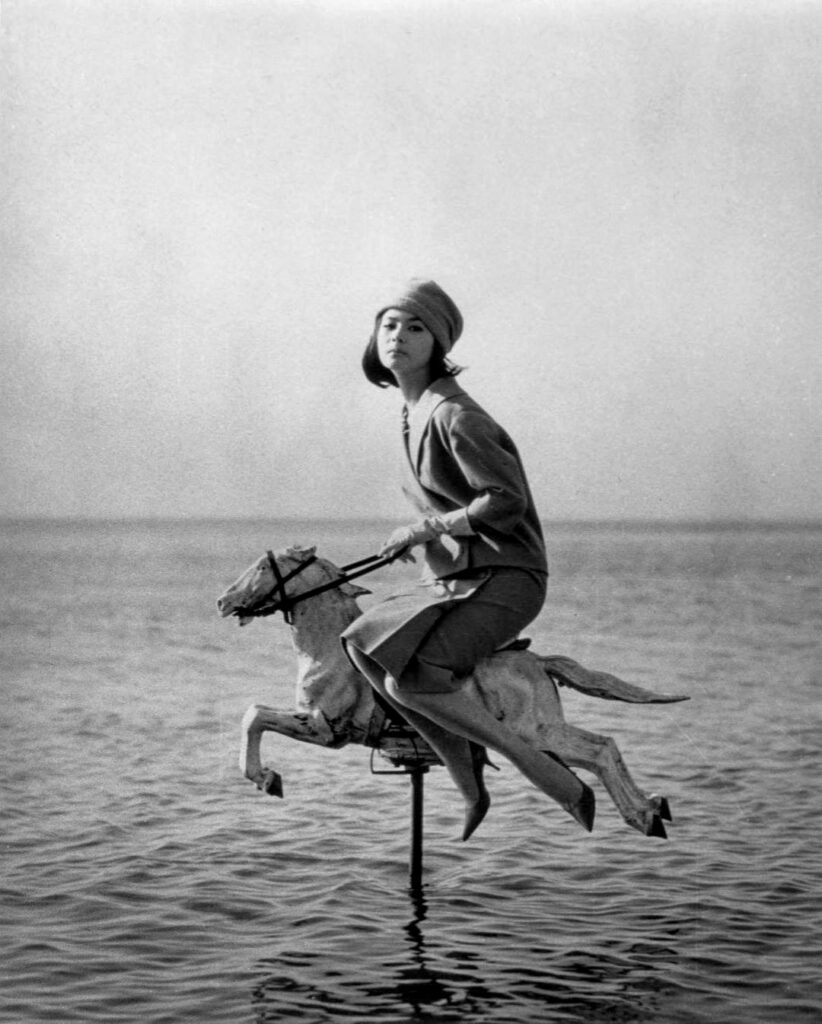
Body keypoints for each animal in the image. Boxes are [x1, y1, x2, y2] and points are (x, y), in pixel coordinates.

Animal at [217, 545, 689, 839]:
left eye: (262, 567)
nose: (222, 602)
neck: (328, 646)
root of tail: (537, 661)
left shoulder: (325, 727)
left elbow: (254, 715)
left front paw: (265, 778)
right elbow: (255, 713)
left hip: (537, 734)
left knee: (599, 750)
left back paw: (639, 814)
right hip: (544, 734)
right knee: (602, 749)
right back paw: (651, 809)